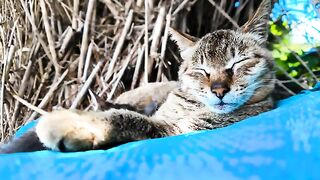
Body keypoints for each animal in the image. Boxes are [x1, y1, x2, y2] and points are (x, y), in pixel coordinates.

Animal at [0, 0, 276, 153]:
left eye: (238, 63)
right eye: (201, 70)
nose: (219, 90)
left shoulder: (180, 130)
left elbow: (127, 118)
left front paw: (67, 124)